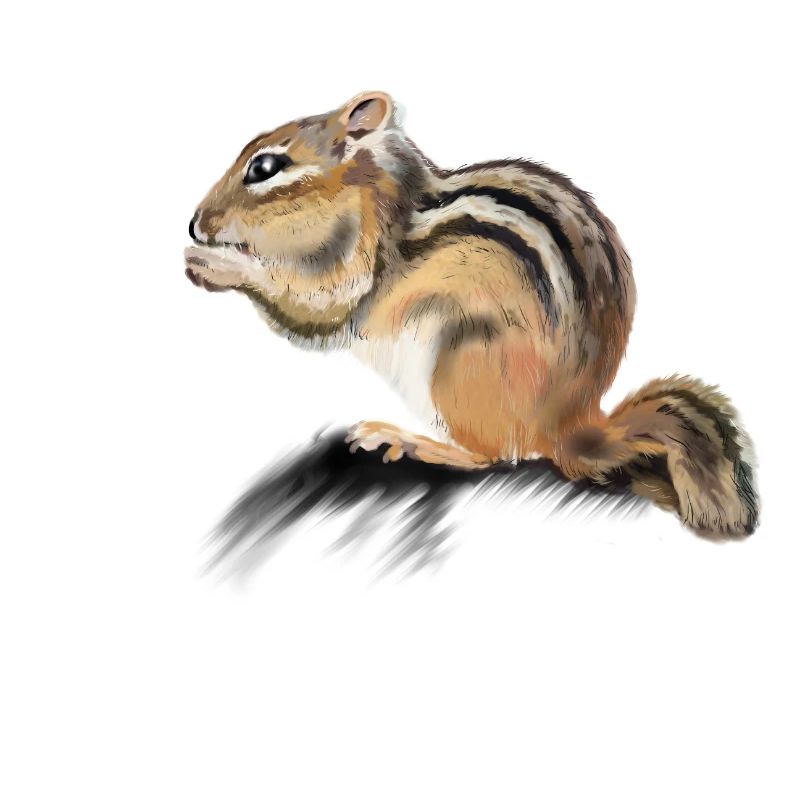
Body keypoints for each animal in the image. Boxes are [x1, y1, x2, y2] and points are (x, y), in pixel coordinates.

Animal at [185, 91, 759, 536]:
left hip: (459, 360)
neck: (369, 190)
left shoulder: (359, 259)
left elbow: (317, 307)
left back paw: (410, 441)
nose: (195, 224)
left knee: (495, 456)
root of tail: (571, 425)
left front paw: (216, 265)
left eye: (265, 167)